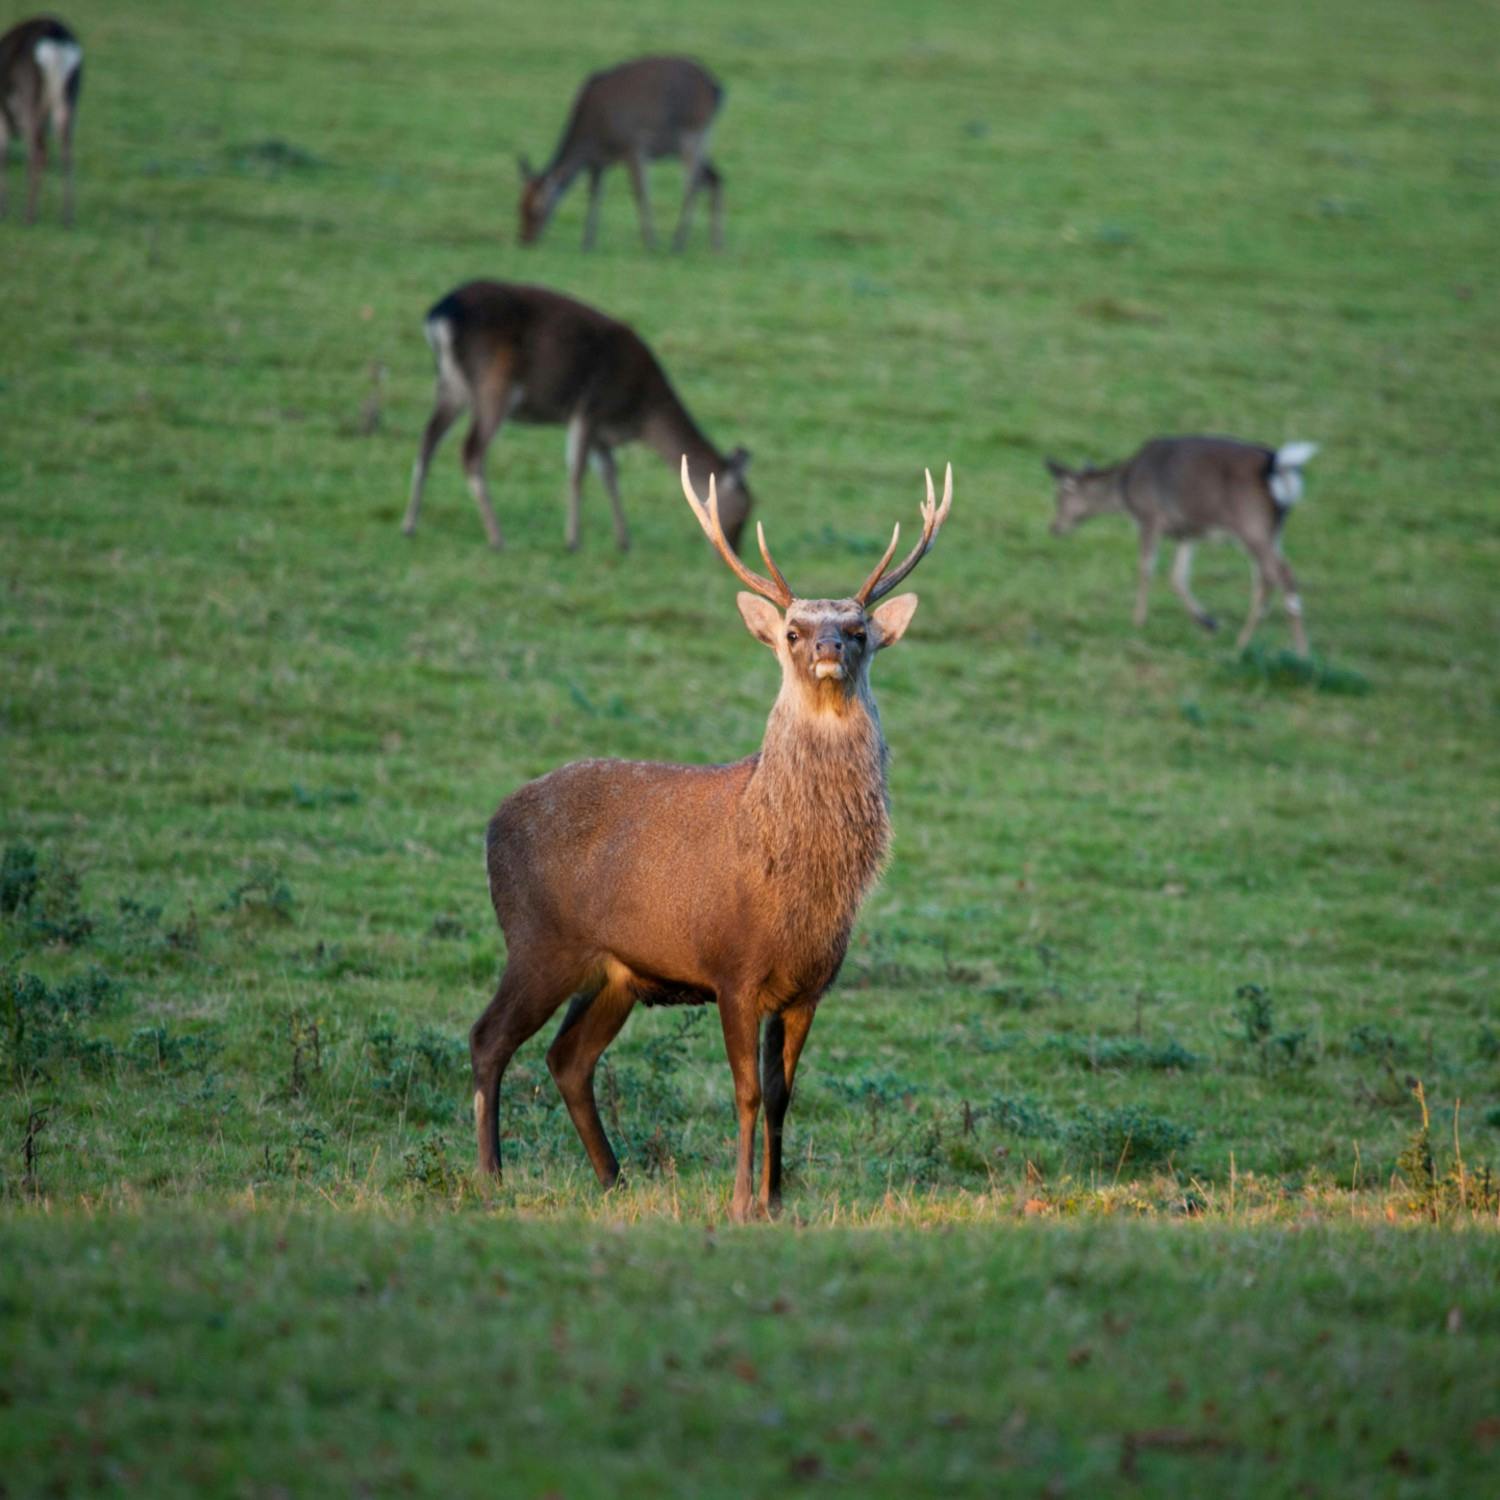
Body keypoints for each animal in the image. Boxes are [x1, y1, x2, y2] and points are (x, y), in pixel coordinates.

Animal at [0, 15, 82, 225]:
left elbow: (3, 154)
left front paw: (4, 210)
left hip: (30, 99)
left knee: (37, 152)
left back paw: (29, 215)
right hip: (68, 100)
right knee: (66, 153)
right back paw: (67, 218)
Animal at [403, 280, 754, 553]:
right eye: (746, 507)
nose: (733, 548)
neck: (639, 413)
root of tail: (438, 314)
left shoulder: (601, 432)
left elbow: (610, 475)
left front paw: (624, 541)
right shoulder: (589, 409)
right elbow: (578, 471)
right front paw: (573, 540)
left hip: (451, 384)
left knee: (427, 439)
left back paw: (409, 524)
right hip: (493, 384)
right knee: (471, 451)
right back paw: (496, 537)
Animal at [470, 458, 953, 1222]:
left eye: (859, 629)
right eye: (792, 630)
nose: (827, 649)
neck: (795, 872)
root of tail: (492, 823)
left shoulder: (809, 987)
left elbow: (783, 1095)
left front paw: (777, 1199)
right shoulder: (733, 971)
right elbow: (747, 1091)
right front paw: (739, 1202)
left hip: (614, 973)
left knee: (568, 1058)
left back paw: (615, 1178)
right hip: (539, 941)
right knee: (489, 1038)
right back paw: (492, 1175)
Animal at [517, 55, 725, 252]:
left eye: (537, 209)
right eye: (518, 205)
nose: (525, 240)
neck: (592, 139)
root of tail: (716, 89)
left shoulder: (633, 146)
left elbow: (640, 193)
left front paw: (651, 243)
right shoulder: (598, 162)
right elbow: (594, 195)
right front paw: (587, 243)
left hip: (692, 132)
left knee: (693, 184)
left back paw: (678, 244)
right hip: (695, 142)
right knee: (715, 177)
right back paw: (716, 246)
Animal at [1046, 435, 1318, 655]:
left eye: (1060, 495)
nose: (1054, 527)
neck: (1126, 490)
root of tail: (1278, 465)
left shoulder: (1150, 516)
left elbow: (1146, 568)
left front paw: (1138, 620)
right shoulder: (1186, 532)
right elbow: (1177, 577)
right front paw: (1208, 621)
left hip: (1252, 525)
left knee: (1281, 576)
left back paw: (1299, 650)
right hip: (1273, 531)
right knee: (1266, 579)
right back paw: (1246, 641)